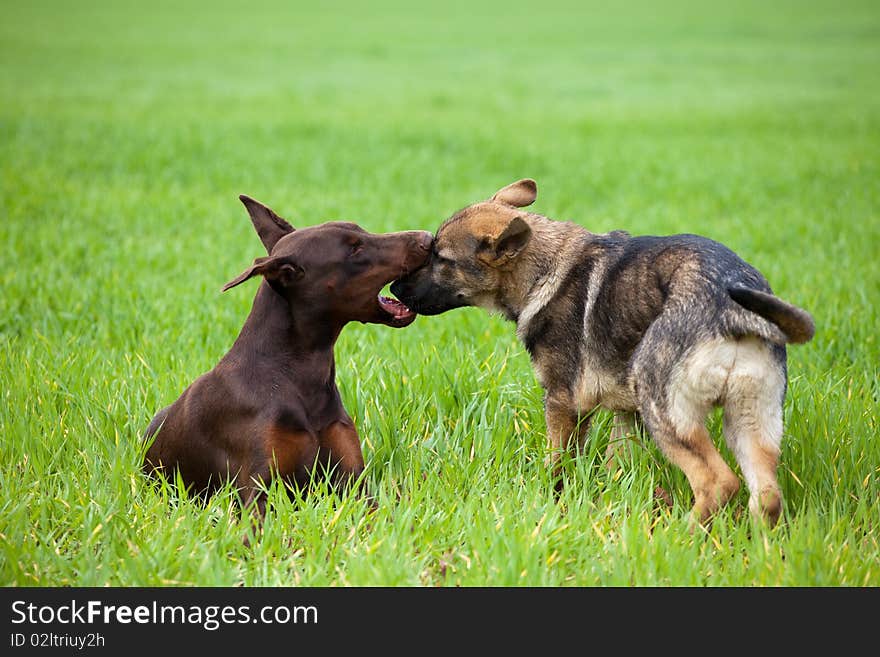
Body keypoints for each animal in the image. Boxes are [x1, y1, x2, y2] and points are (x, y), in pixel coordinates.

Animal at [143, 195, 432, 524]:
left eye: (361, 231)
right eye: (354, 249)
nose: (428, 238)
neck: (299, 376)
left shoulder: (354, 482)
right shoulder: (257, 492)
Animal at [392, 177, 812, 524]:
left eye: (441, 259)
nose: (395, 288)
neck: (543, 270)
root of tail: (731, 309)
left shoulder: (563, 402)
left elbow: (558, 462)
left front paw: (552, 500)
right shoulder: (626, 414)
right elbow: (616, 463)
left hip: (666, 411)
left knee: (718, 482)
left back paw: (684, 533)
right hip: (751, 418)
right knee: (767, 495)